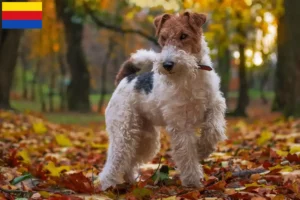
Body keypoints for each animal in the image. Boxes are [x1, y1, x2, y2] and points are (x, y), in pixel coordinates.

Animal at [99, 11, 226, 191]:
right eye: (163, 37)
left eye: (183, 35)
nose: (167, 64)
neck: (191, 74)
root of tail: (126, 79)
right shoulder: (181, 123)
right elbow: (187, 153)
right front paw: (192, 181)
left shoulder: (215, 103)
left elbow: (214, 129)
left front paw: (202, 149)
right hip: (123, 131)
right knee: (114, 161)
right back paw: (108, 185)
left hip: (145, 138)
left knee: (129, 160)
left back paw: (131, 180)